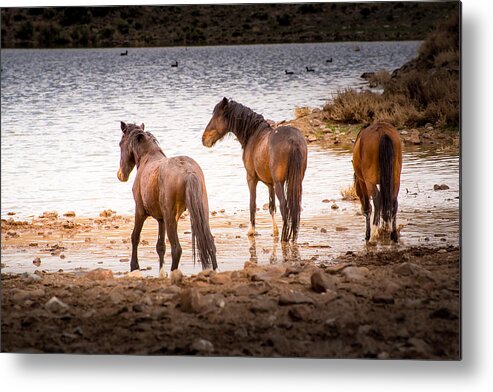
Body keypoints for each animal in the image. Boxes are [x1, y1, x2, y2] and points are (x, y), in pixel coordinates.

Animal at [117, 121, 217, 274]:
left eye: (120, 143)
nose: (121, 175)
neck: (147, 158)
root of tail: (188, 171)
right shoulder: (161, 219)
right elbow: (160, 246)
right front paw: (161, 273)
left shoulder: (140, 211)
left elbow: (135, 237)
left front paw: (134, 267)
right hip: (201, 212)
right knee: (210, 242)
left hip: (171, 217)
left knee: (176, 249)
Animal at [202, 98, 306, 242]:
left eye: (216, 116)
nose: (204, 139)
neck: (253, 135)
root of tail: (292, 140)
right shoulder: (270, 184)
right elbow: (271, 206)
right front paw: (274, 231)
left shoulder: (251, 178)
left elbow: (252, 204)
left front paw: (251, 230)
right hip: (295, 182)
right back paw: (293, 235)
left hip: (280, 183)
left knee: (284, 207)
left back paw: (284, 236)